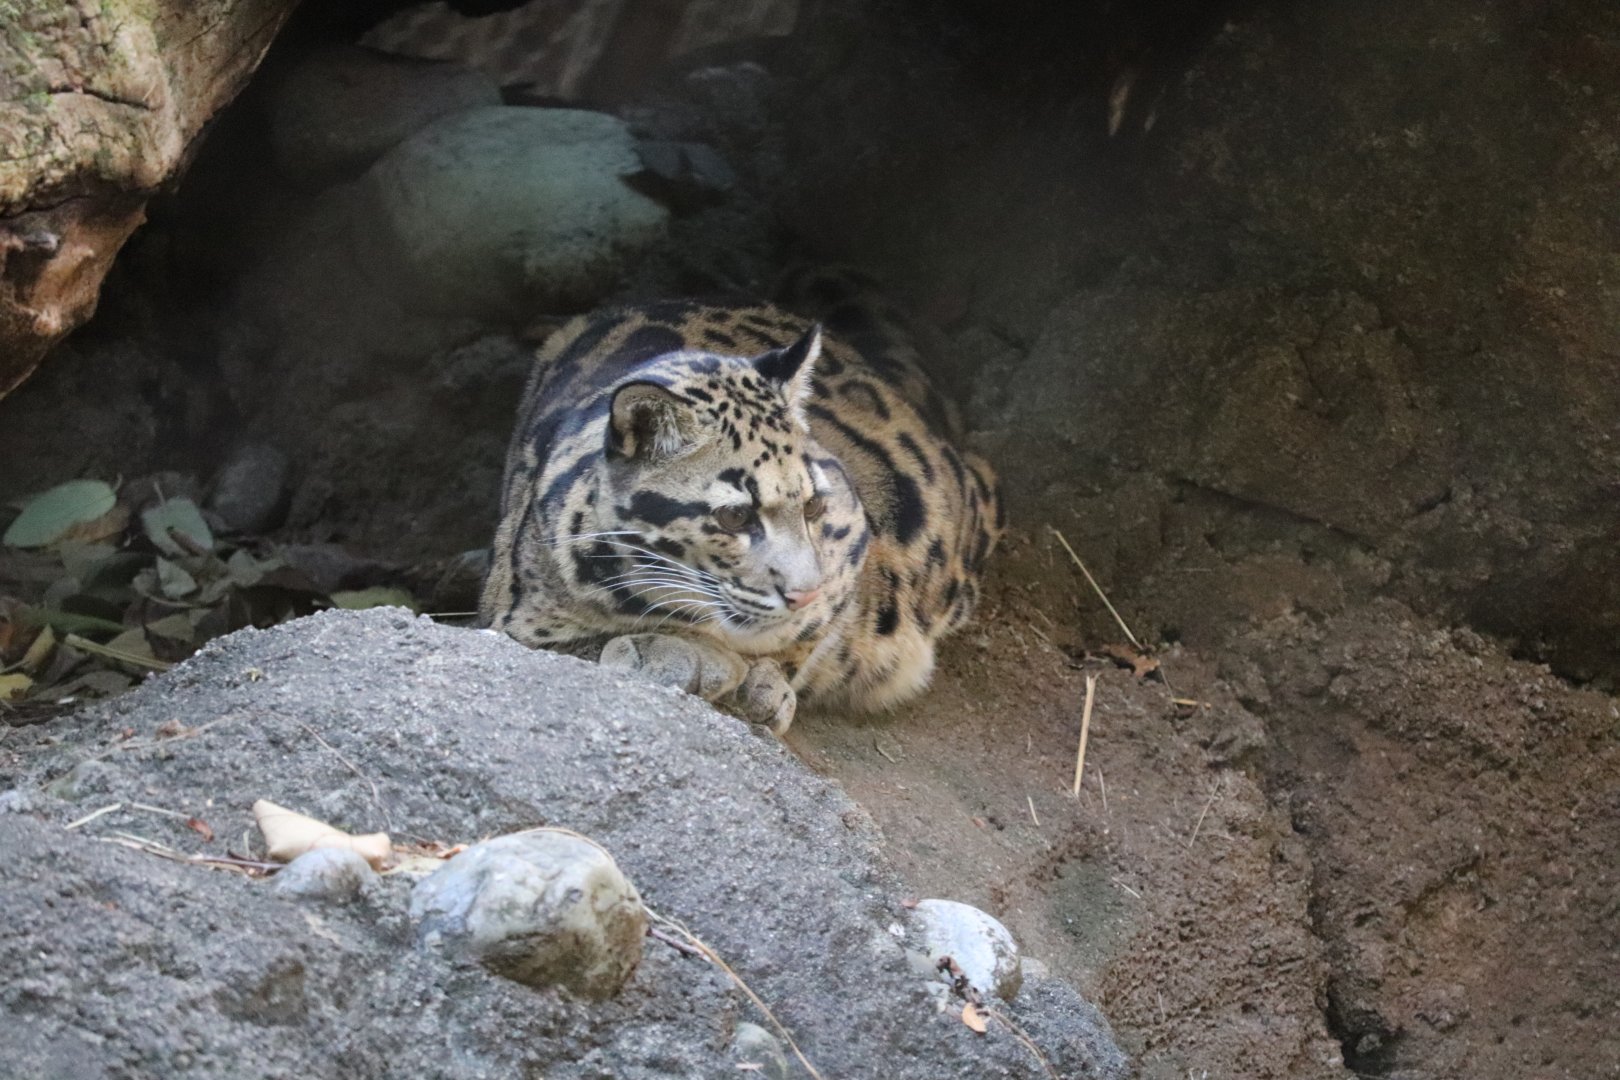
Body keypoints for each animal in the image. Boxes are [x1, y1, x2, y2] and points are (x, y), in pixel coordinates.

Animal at [479, 270, 1003, 732]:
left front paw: (760, 679)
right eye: (734, 516)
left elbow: (806, 633)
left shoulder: (853, 544)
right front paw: (672, 653)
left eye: (813, 507)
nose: (801, 593)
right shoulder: (514, 612)